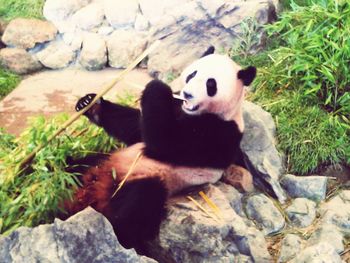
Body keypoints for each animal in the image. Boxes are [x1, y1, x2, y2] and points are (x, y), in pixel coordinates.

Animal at [61, 47, 256, 252]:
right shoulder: (175, 109)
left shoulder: (221, 133)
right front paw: (90, 104)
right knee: (75, 168)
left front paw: (158, 85)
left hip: (145, 178)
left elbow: (166, 142)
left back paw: (119, 235)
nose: (187, 94)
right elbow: (136, 128)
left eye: (211, 84)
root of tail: (98, 191)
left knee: (139, 204)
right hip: (103, 161)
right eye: (192, 74)